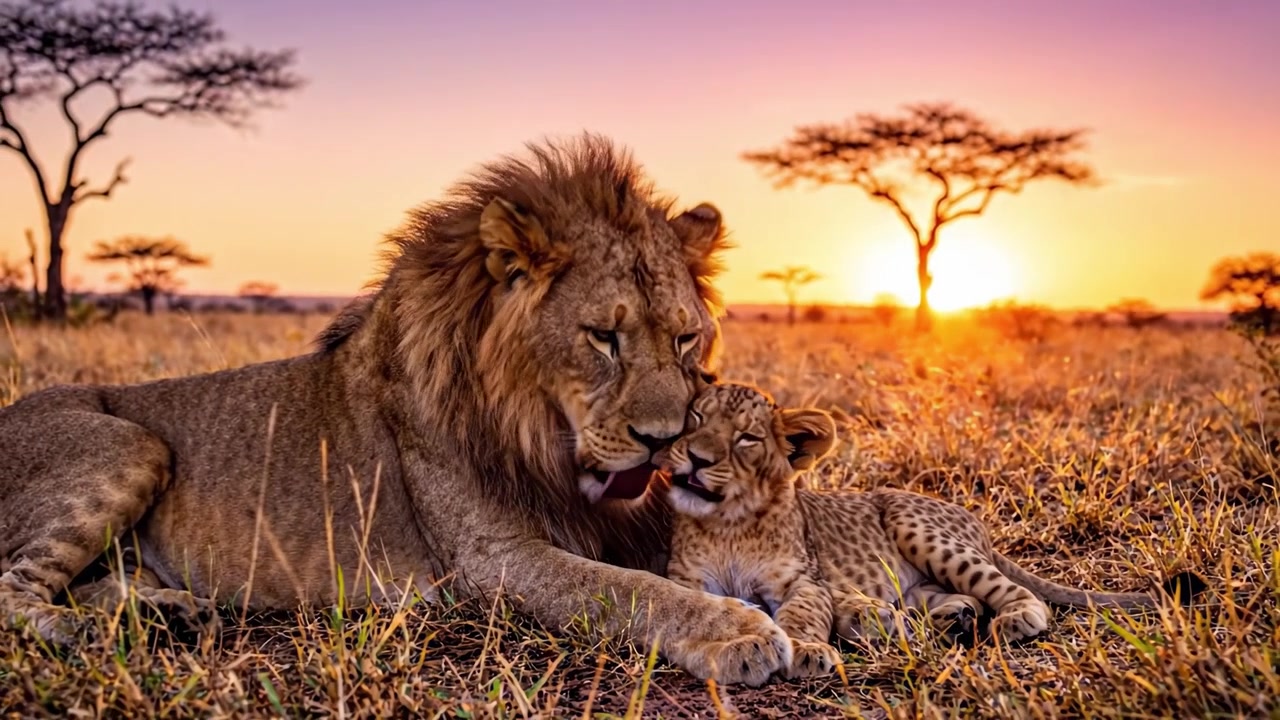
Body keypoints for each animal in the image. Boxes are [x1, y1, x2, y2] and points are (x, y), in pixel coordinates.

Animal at [0, 134, 792, 687]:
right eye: (603, 336)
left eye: (684, 338)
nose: (664, 444)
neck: (538, 430)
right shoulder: (490, 564)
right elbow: (628, 591)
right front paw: (737, 632)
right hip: (131, 445)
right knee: (13, 589)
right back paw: (99, 635)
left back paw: (168, 615)